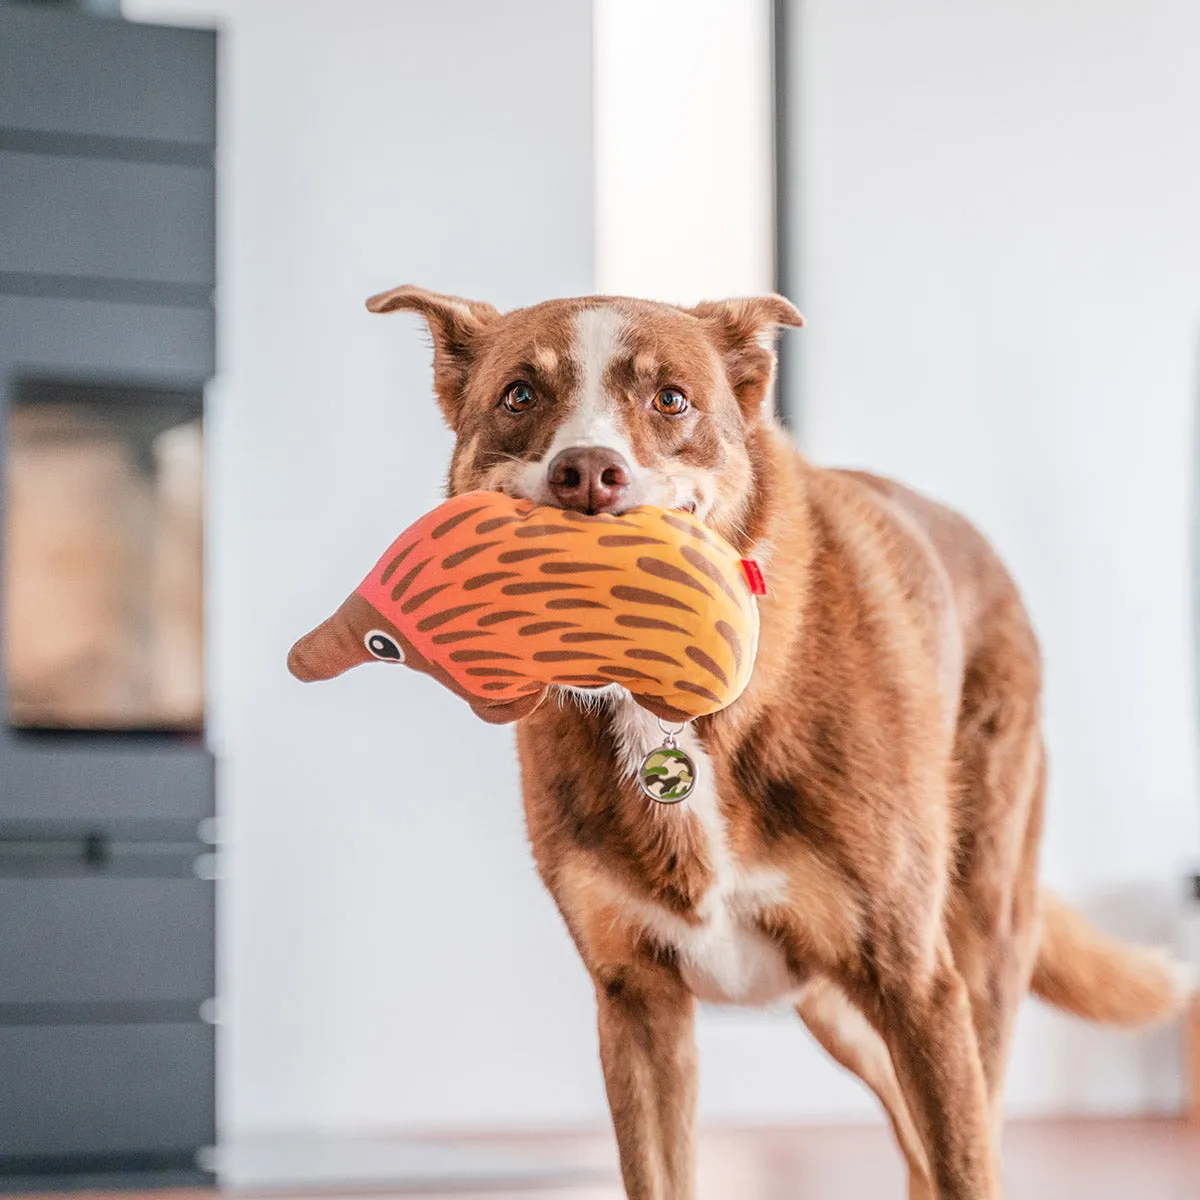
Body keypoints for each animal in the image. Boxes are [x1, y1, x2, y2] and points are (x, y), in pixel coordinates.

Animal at [364, 285, 1190, 1195]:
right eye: (519, 395)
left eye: (671, 399)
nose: (586, 473)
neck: (670, 712)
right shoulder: (637, 1006)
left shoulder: (917, 985)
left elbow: (965, 1164)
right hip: (840, 1009)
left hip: (974, 958)